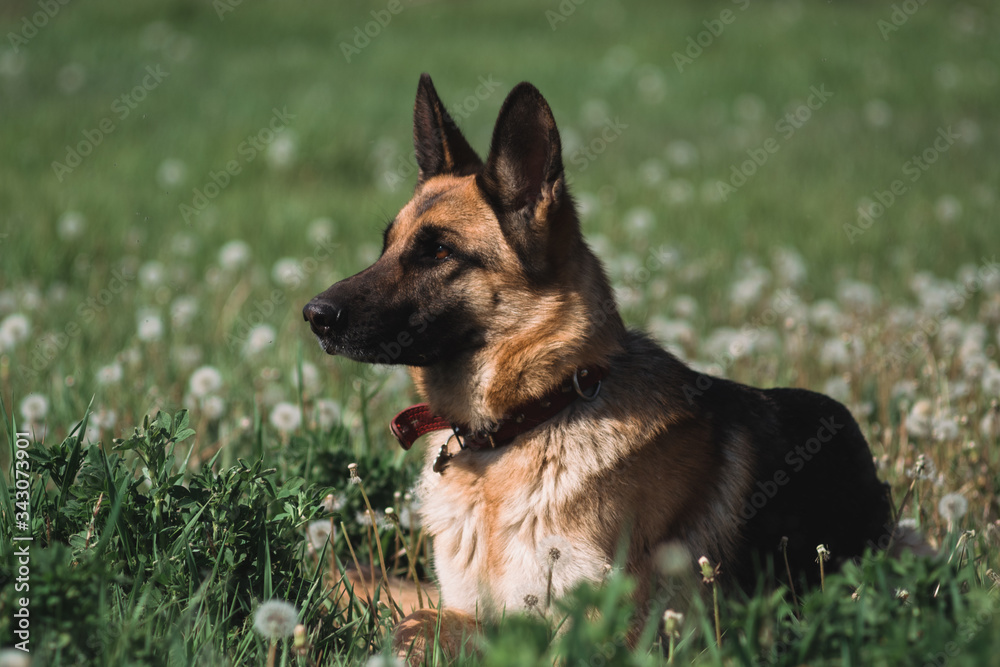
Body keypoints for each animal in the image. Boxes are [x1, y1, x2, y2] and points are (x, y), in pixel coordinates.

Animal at [302, 74, 892, 656]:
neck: (531, 418)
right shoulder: (469, 603)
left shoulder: (600, 636)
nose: (314, 316)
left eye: (439, 252)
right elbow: (409, 611)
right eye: (386, 246)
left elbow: (417, 622)